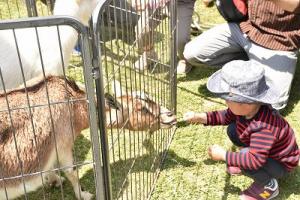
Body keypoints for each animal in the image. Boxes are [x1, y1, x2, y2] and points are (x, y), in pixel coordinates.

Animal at [0, 76, 176, 199]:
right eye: (141, 109)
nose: (171, 116)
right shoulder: (63, 144)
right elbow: (71, 171)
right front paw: (84, 195)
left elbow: (50, 167)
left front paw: (54, 180)